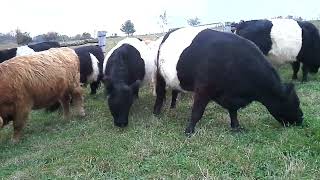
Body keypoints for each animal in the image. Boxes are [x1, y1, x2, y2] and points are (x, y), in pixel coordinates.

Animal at [154, 26, 304, 134]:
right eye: (296, 103)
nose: (301, 118)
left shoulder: (231, 95)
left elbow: (233, 111)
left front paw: (236, 127)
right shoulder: (203, 89)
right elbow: (197, 112)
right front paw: (189, 131)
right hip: (160, 76)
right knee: (160, 94)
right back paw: (156, 113)